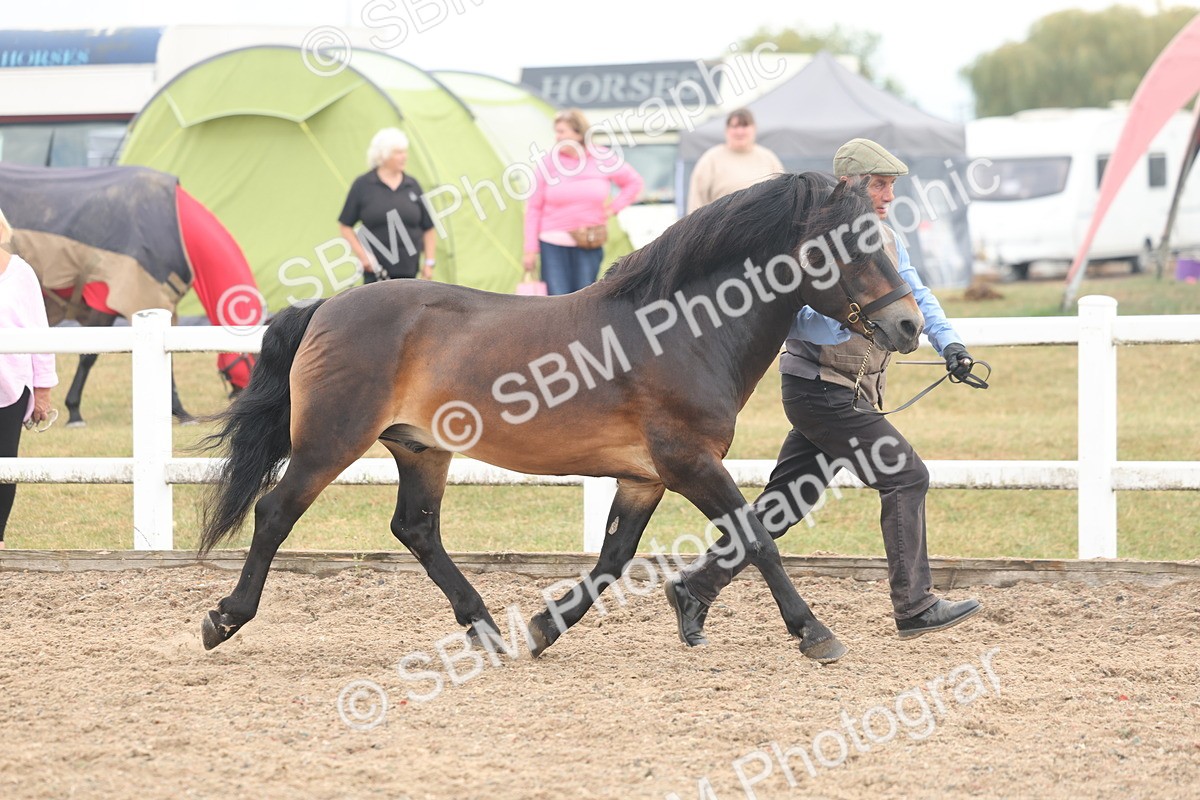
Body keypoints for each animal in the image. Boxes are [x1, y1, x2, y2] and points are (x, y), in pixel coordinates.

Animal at [196, 173, 924, 664]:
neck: (680, 331)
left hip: (421, 449)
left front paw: (547, 627)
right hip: (331, 442)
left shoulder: (644, 478)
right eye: (845, 245)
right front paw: (815, 632)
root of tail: (325, 307)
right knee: (275, 513)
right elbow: (756, 537)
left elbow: (614, 557)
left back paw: (486, 629)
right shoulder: (689, 461)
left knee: (416, 529)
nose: (908, 325)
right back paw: (224, 619)